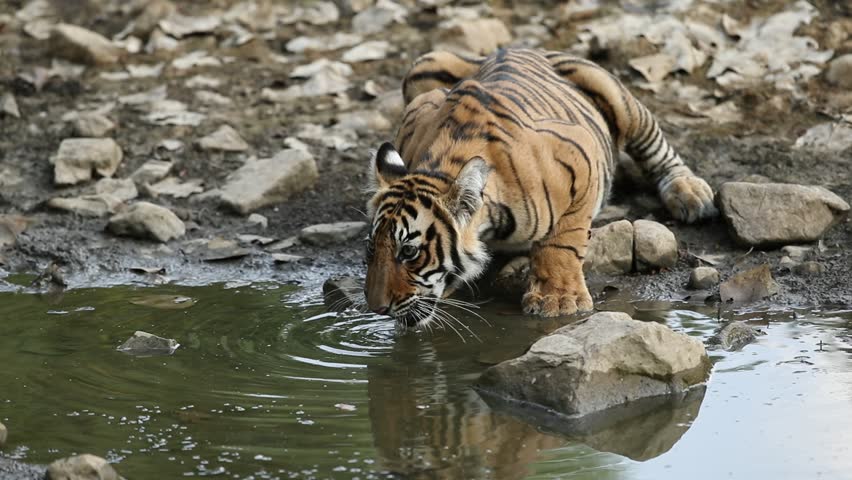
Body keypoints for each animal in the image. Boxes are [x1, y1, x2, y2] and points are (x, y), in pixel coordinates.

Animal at [362, 48, 716, 326]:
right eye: (371, 247)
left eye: (409, 252)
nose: (376, 309)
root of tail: (511, 48)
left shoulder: (580, 157)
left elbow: (563, 240)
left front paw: (558, 300)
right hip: (424, 66)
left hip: (616, 96)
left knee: (655, 144)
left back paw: (690, 194)